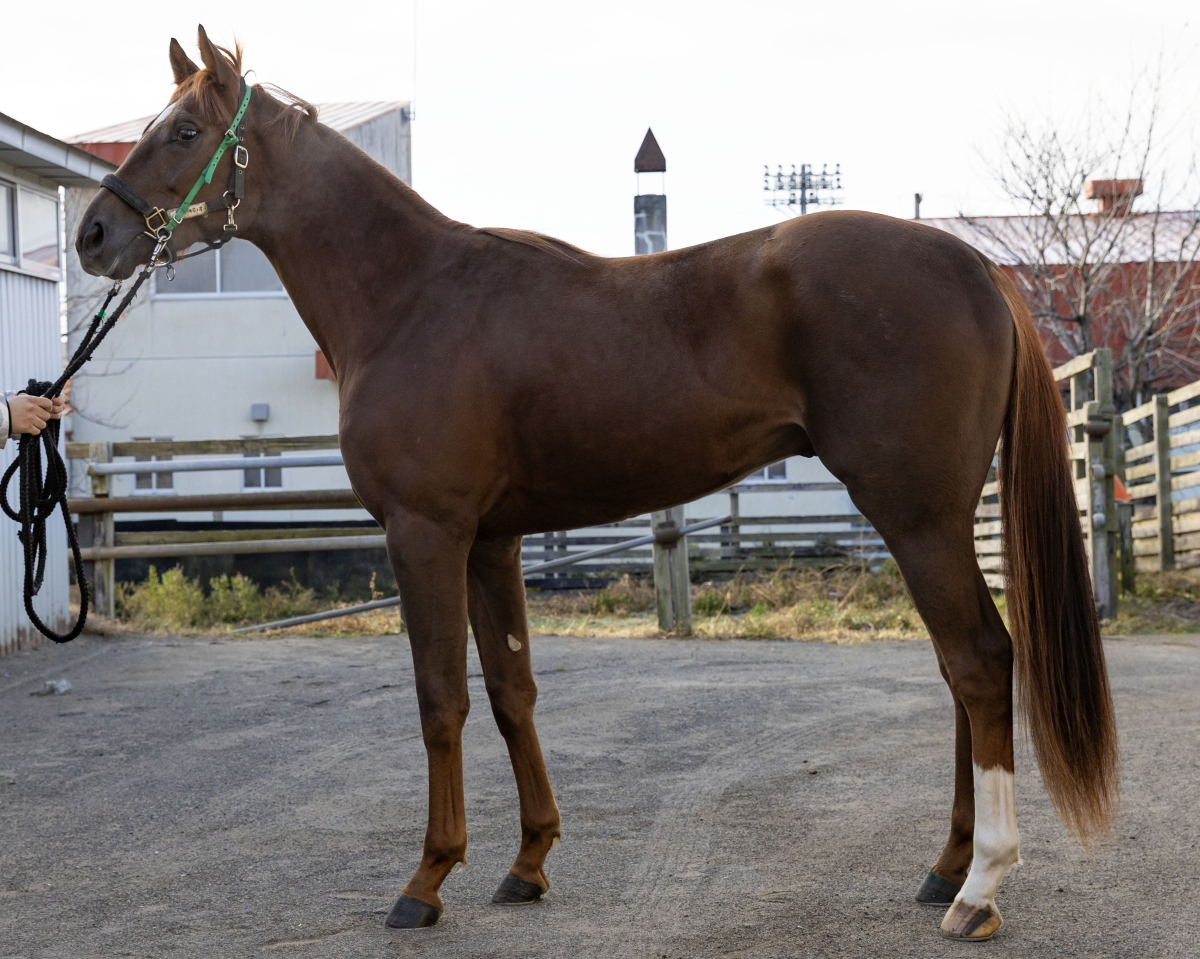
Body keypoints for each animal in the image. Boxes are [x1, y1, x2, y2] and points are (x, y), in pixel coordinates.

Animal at [75, 27, 1118, 941]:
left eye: (185, 131)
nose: (93, 233)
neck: (411, 296)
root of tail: (975, 264)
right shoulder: (492, 539)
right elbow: (511, 690)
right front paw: (526, 862)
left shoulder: (426, 532)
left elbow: (439, 697)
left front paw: (426, 880)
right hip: (935, 519)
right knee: (960, 670)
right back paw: (947, 864)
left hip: (916, 514)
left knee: (979, 661)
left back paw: (978, 889)